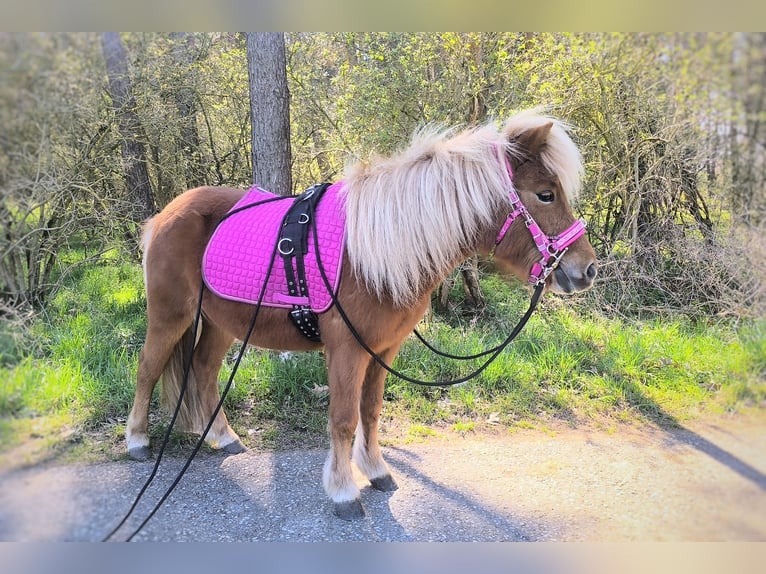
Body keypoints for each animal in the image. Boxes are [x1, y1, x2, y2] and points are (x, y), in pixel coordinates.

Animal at [125, 109, 598, 520]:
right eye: (545, 194)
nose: (588, 269)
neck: (377, 251)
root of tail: (163, 216)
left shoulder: (383, 349)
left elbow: (371, 410)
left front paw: (375, 470)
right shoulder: (347, 350)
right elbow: (343, 418)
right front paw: (343, 491)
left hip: (222, 323)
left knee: (203, 371)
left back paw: (224, 438)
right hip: (170, 316)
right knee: (148, 368)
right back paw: (137, 440)